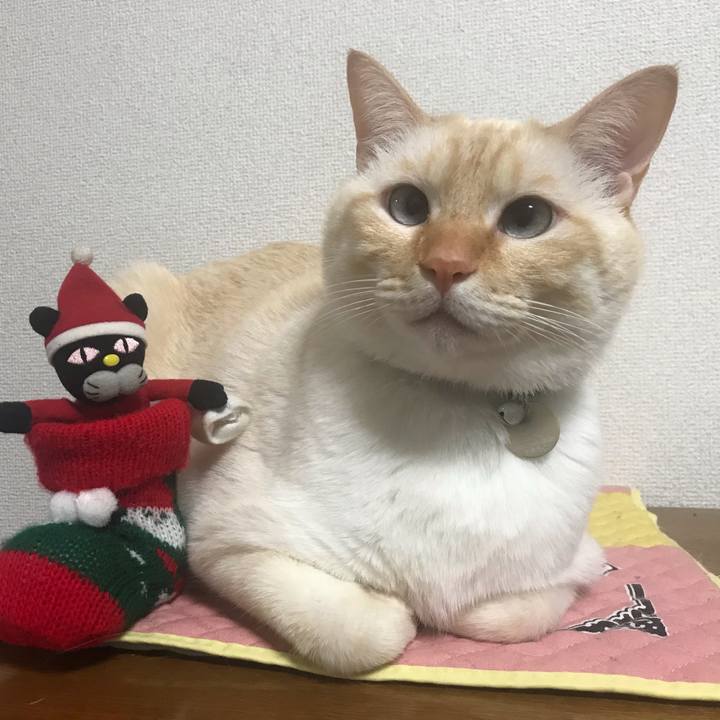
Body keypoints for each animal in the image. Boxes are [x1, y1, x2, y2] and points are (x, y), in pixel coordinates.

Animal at [114, 51, 677, 674]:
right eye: (408, 207)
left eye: (528, 218)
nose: (445, 266)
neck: (460, 417)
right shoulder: (226, 540)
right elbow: (372, 631)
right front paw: (399, 609)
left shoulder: (574, 565)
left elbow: (500, 616)